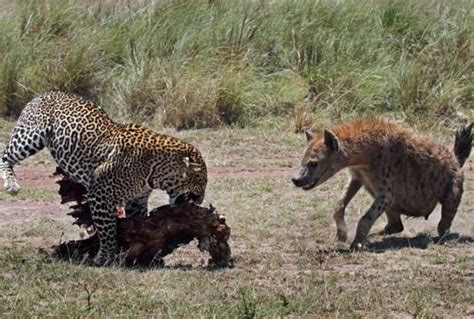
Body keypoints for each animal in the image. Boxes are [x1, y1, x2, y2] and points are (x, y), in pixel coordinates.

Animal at [0, 92, 207, 264]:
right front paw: (104, 257)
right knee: (5, 155)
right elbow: (108, 231)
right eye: (202, 182)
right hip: (31, 135)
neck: (156, 171)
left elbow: (137, 226)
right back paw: (11, 184)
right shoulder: (100, 194)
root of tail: (44, 93)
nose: (200, 201)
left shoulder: (136, 201)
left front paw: (136, 252)